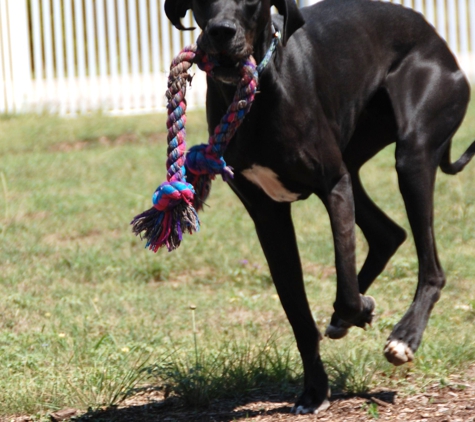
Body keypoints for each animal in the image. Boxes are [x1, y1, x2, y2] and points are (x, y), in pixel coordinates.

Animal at [165, 0, 475, 416]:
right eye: (200, 4)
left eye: (252, 3)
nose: (221, 32)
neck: (261, 96)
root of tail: (436, 38)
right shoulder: (269, 217)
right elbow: (298, 313)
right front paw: (314, 389)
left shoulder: (333, 186)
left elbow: (345, 287)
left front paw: (361, 309)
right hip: (356, 157)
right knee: (388, 234)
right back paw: (348, 321)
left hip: (413, 154)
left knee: (431, 267)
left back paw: (404, 336)